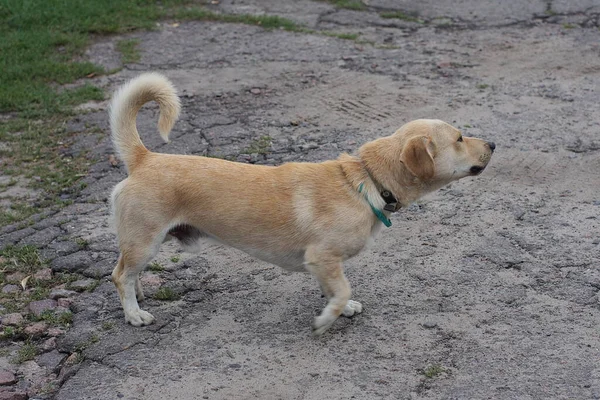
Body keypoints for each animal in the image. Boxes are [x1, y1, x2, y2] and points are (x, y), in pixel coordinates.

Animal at [110, 72, 494, 334]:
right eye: (460, 138)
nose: (493, 144)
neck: (366, 181)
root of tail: (145, 158)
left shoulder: (324, 264)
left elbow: (335, 288)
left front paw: (344, 307)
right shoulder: (322, 256)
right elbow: (340, 290)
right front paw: (326, 319)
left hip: (142, 244)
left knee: (127, 271)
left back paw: (141, 294)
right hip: (146, 241)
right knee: (119, 276)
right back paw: (134, 314)